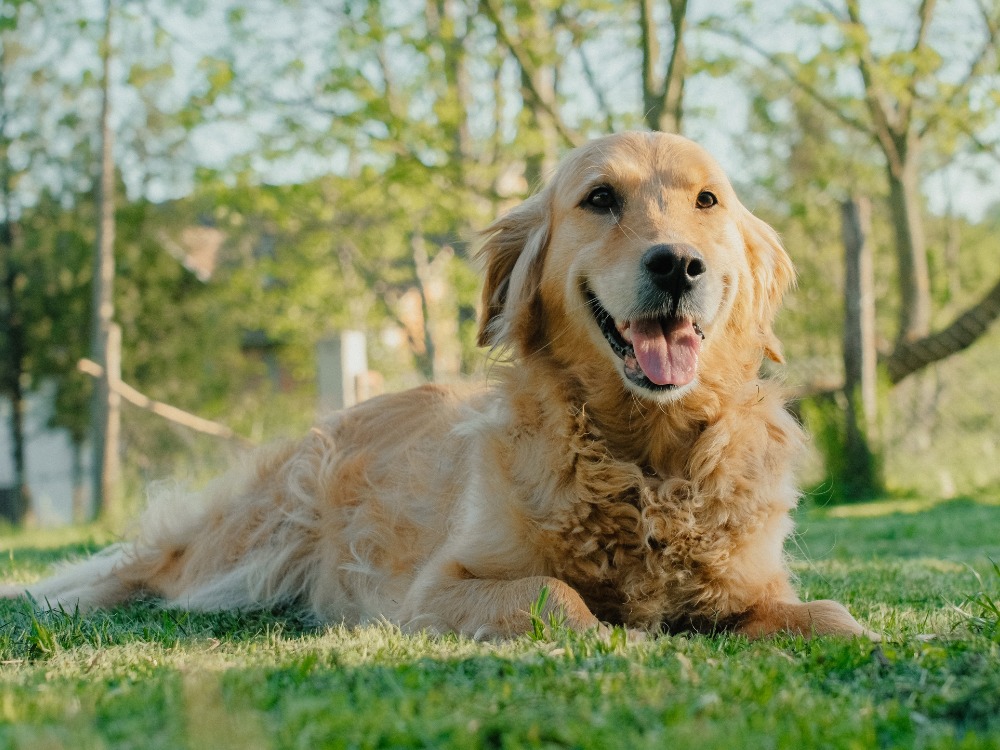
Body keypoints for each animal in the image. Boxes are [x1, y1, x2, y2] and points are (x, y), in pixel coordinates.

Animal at [3, 134, 872, 640]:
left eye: (707, 201)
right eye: (599, 199)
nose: (678, 265)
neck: (644, 457)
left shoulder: (752, 585)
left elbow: (832, 617)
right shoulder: (436, 590)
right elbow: (559, 599)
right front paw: (619, 634)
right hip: (253, 544)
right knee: (143, 572)